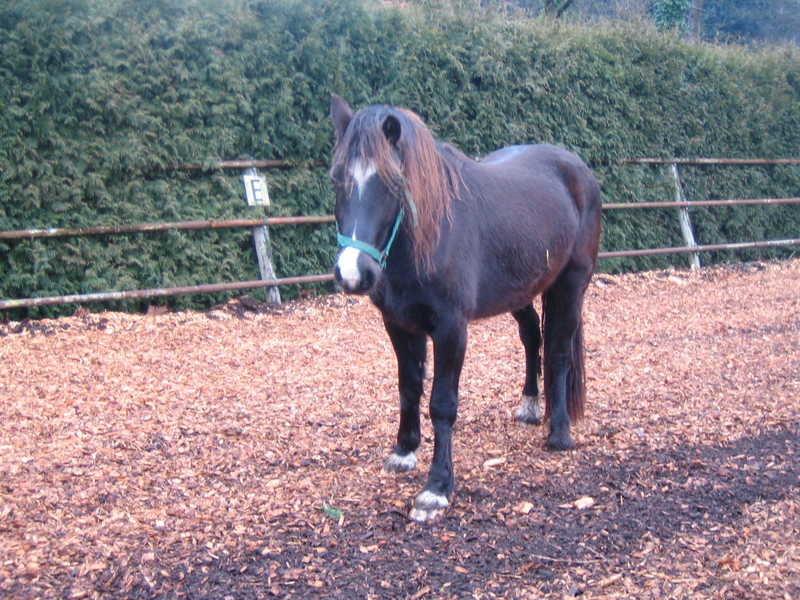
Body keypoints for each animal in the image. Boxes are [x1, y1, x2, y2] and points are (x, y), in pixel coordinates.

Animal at [326, 94, 600, 520]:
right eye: (337, 180)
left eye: (392, 184)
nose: (353, 273)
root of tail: (577, 169)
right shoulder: (398, 324)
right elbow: (408, 387)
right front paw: (404, 452)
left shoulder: (451, 329)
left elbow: (442, 404)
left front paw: (436, 489)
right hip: (518, 291)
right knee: (532, 337)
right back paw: (529, 407)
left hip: (570, 284)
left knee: (557, 350)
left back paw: (558, 432)